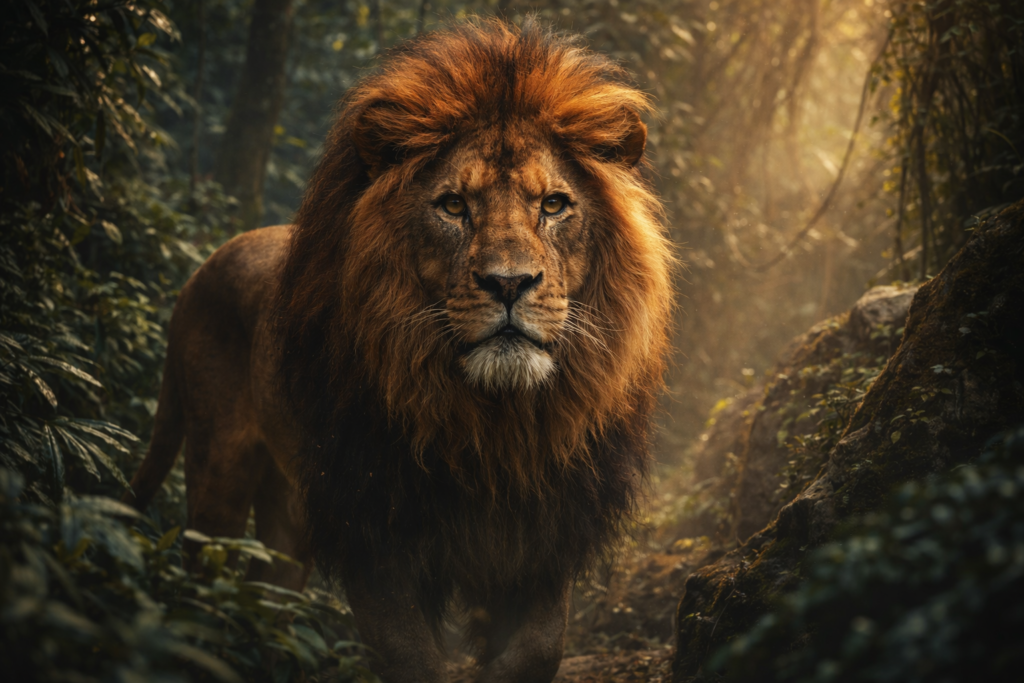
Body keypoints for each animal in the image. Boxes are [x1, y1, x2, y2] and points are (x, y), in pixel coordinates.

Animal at [124, 19, 673, 683]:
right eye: (454, 205)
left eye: (553, 205)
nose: (509, 284)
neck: (494, 421)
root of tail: (205, 265)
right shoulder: (374, 532)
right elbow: (415, 660)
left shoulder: (545, 534)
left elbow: (538, 648)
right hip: (219, 475)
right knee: (202, 592)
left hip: (290, 509)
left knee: (265, 600)